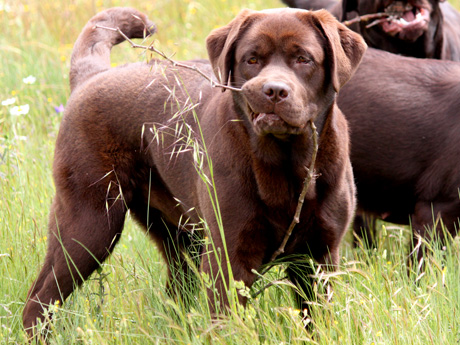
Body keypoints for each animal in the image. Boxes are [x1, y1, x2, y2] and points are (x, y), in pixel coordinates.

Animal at [22, 6, 366, 336]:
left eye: (303, 58)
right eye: (251, 59)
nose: (274, 91)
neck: (284, 165)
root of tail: (93, 76)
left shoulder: (319, 256)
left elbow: (317, 321)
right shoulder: (229, 257)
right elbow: (228, 324)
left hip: (178, 239)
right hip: (89, 224)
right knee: (39, 300)